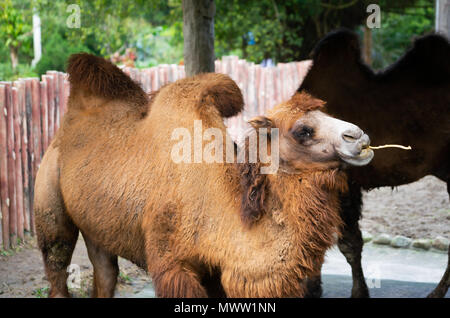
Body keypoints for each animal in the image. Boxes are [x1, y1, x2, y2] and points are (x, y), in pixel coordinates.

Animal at [34, 53, 372, 296]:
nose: (360, 137)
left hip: (97, 226)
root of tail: (64, 129)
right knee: (57, 264)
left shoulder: (216, 271)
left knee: (105, 273)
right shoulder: (172, 265)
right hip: (48, 200)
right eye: (303, 130)